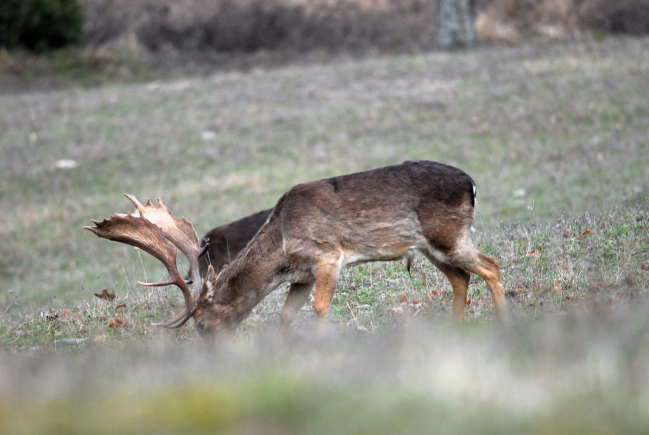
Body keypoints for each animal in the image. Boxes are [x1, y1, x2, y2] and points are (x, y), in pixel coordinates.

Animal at [85, 162, 506, 336]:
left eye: (202, 324)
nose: (211, 351)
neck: (283, 245)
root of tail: (471, 184)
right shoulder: (300, 277)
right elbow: (286, 315)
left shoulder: (328, 256)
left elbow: (319, 308)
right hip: (432, 247)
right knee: (462, 278)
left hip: (449, 235)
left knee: (490, 265)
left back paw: (507, 322)